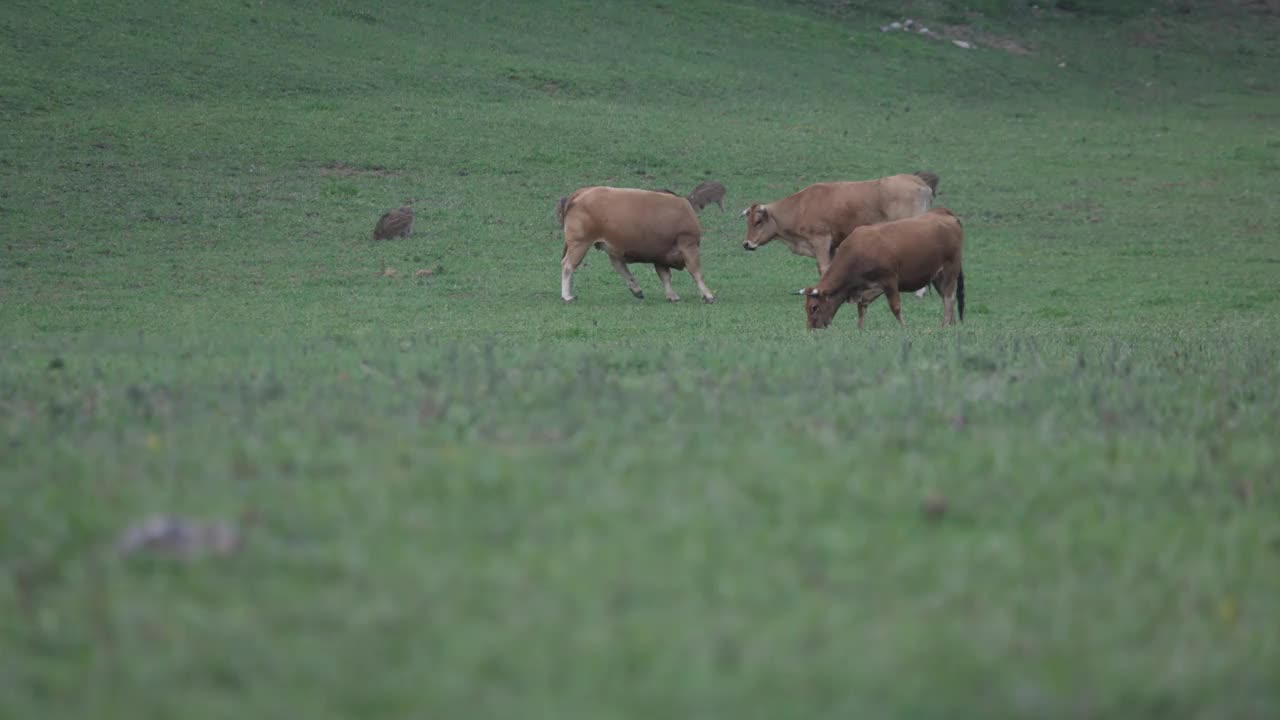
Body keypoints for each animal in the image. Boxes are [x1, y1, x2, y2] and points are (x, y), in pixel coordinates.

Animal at [555, 185, 716, 301]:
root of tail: (583, 191)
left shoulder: (660, 255)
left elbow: (665, 276)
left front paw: (671, 295)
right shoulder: (688, 244)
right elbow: (696, 271)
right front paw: (708, 295)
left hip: (609, 246)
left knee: (620, 266)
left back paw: (636, 289)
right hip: (580, 243)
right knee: (568, 266)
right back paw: (567, 296)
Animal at [742, 171, 942, 285]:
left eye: (758, 221)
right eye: (748, 221)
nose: (746, 244)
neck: (801, 206)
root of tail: (918, 181)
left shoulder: (821, 240)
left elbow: (824, 268)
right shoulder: (832, 245)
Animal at [793, 206, 962, 330]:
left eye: (814, 307)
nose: (811, 328)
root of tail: (941, 212)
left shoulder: (890, 281)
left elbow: (895, 307)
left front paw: (903, 327)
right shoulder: (866, 288)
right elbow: (861, 307)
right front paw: (860, 330)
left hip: (950, 269)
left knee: (949, 297)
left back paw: (945, 324)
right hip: (937, 276)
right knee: (946, 297)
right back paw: (951, 324)